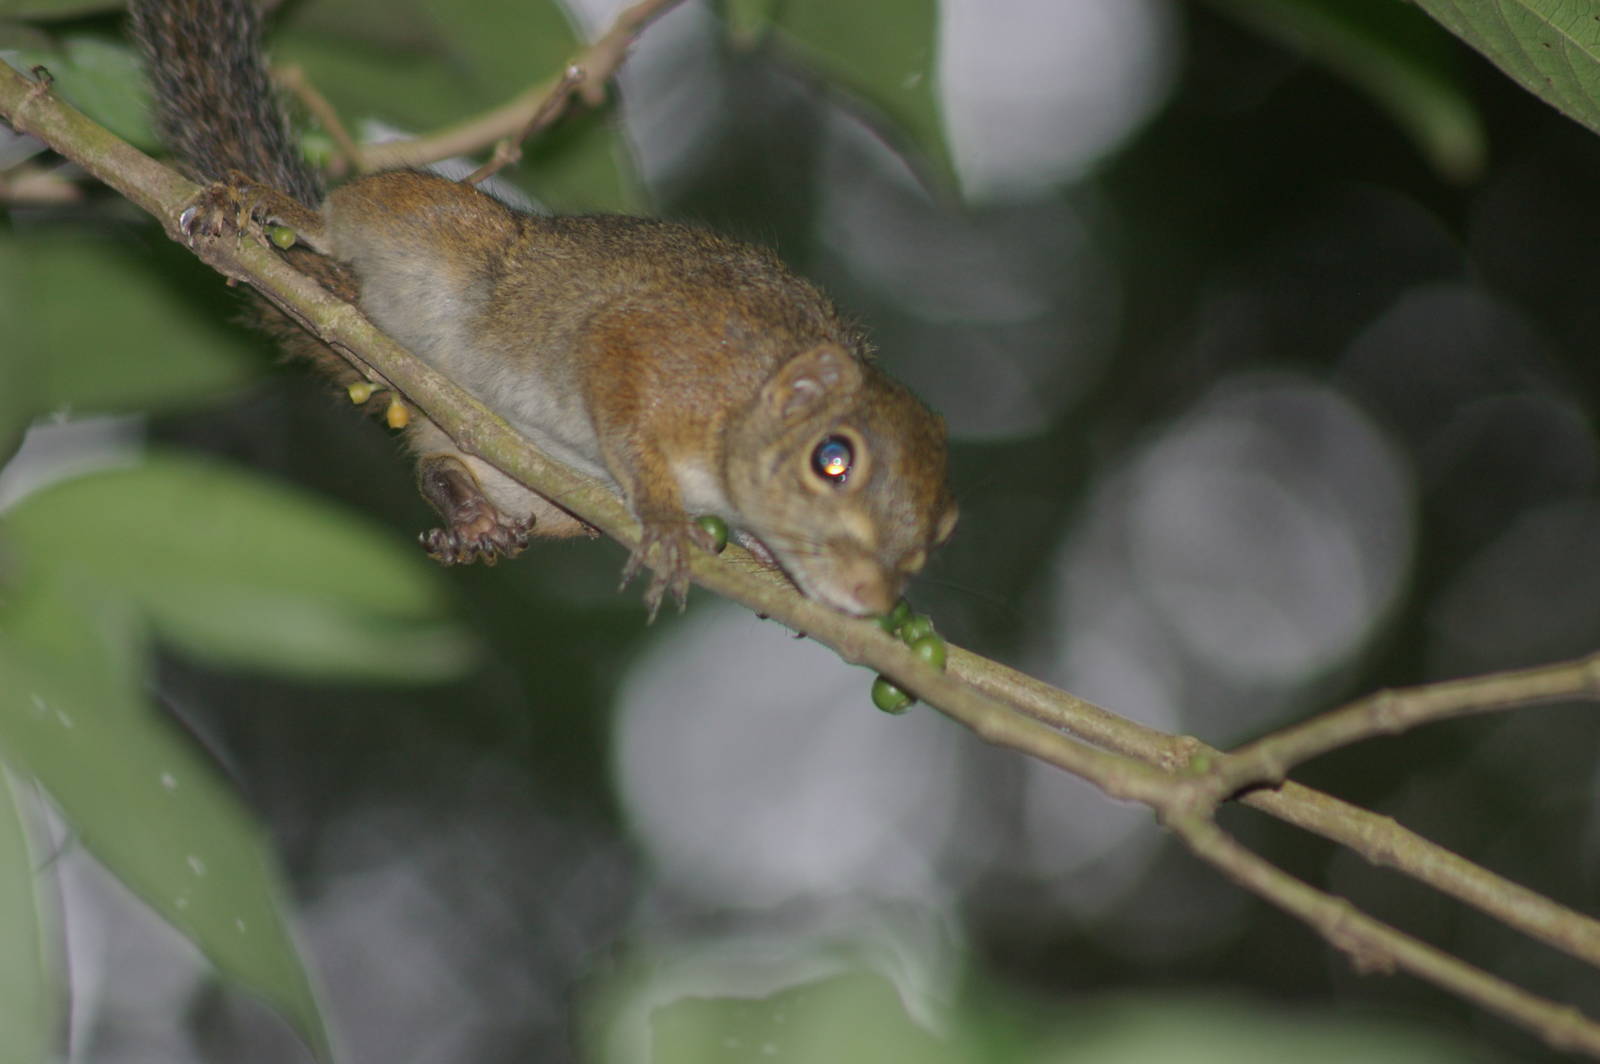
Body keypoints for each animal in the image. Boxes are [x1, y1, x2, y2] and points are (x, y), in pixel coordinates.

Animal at [128, 0, 958, 617]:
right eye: (832, 460)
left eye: (933, 539)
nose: (871, 596)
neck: (749, 398)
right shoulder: (658, 347)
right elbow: (621, 398)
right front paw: (665, 520)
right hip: (437, 230)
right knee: (347, 218)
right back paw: (279, 211)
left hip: (538, 492)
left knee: (445, 464)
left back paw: (468, 514)